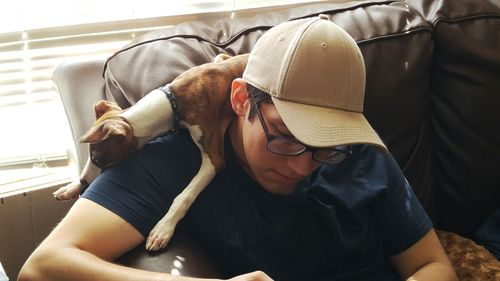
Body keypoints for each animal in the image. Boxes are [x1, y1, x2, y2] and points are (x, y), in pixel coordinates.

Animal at [54, 53, 248, 250]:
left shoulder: (214, 160)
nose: (83, 183)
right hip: (221, 57)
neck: (173, 100)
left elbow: (184, 195)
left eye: (97, 160)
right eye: (92, 158)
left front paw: (163, 228)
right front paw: (70, 187)